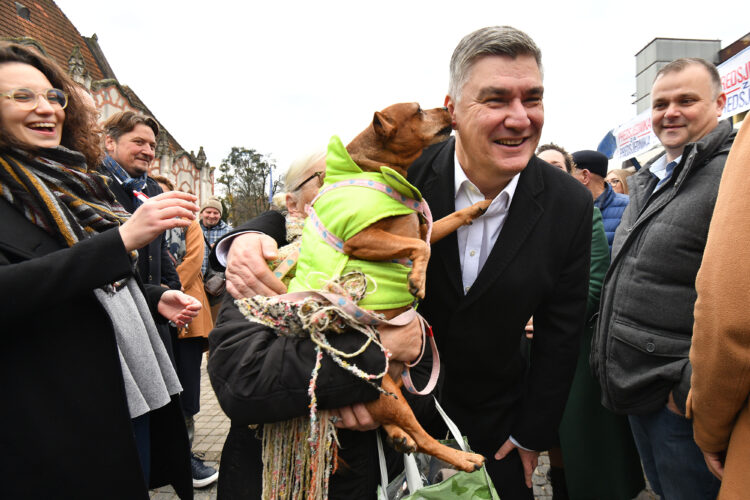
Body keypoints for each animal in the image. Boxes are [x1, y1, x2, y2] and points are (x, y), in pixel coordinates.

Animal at [338, 102, 490, 472]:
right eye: (419, 110)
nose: (447, 107)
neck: (378, 168)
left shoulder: (426, 230)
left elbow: (446, 222)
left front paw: (478, 206)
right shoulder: (362, 239)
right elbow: (419, 248)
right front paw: (416, 279)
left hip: (393, 391)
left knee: (393, 425)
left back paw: (399, 438)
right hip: (392, 394)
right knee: (424, 438)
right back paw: (464, 459)